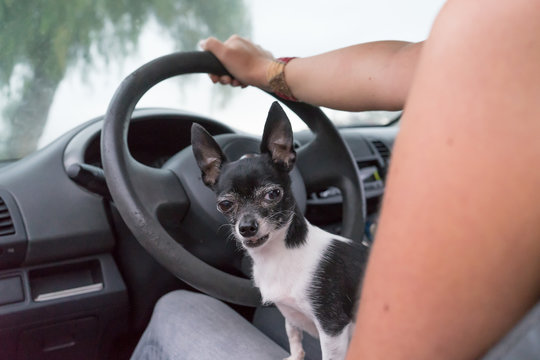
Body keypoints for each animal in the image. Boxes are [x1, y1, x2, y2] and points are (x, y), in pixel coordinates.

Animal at [191, 102, 368, 360]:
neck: (277, 254)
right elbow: (293, 336)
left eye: (272, 194)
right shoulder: (290, 314)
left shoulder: (332, 328)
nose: (246, 227)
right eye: (225, 204)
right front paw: (295, 357)